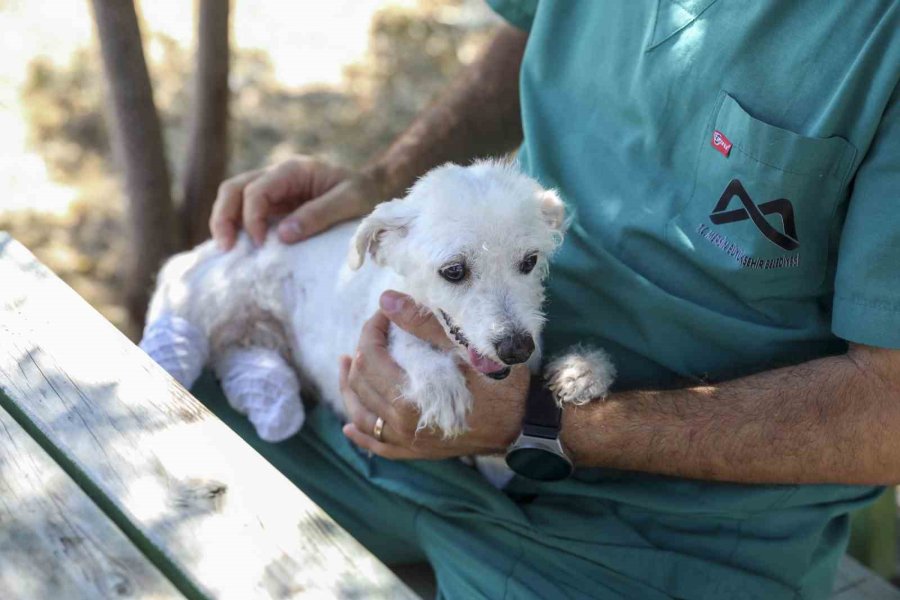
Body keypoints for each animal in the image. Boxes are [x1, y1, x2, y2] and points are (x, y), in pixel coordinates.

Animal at [141, 159, 616, 450]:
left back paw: (273, 402)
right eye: (454, 271)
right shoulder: (384, 324)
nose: (517, 348)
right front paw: (439, 384)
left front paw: (581, 371)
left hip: (250, 340)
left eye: (530, 261)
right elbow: (407, 347)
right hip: (203, 301)